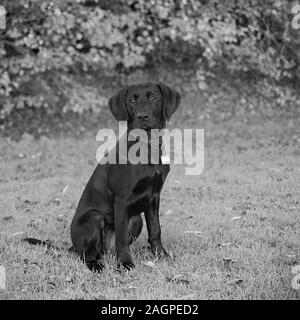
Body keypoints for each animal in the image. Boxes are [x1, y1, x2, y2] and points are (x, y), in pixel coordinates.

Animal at [24, 81, 180, 272]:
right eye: (131, 100)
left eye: (153, 98)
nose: (142, 116)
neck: (146, 147)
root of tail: (73, 246)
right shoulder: (121, 199)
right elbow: (122, 237)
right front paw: (126, 263)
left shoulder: (154, 196)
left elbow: (156, 230)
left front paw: (161, 255)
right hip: (94, 219)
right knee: (87, 254)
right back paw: (96, 265)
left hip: (136, 220)